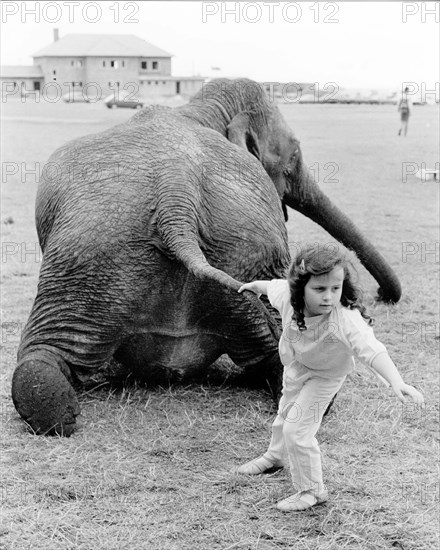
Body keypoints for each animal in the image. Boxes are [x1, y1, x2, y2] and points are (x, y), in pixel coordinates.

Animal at [11, 80, 402, 438]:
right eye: (293, 159)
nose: (381, 297)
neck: (195, 108)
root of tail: (176, 196)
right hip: (93, 262)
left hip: (103, 260)